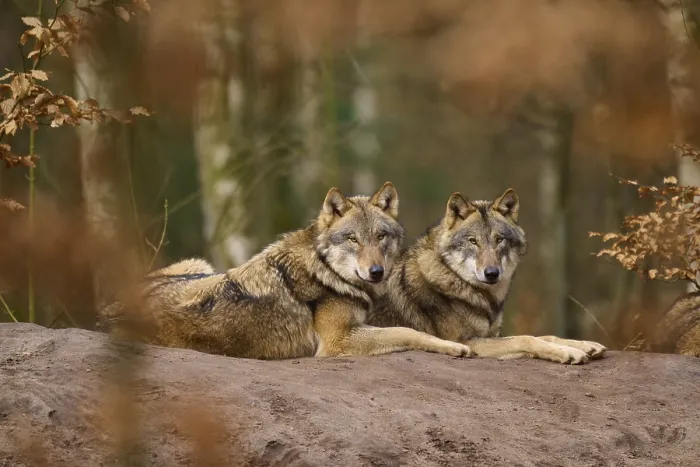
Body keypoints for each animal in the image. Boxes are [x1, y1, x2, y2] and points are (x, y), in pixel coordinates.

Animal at [97, 182, 472, 360]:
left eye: (381, 236)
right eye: (352, 239)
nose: (376, 272)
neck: (326, 269)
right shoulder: (337, 341)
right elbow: (408, 332)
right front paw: (455, 347)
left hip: (199, 265)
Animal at [367, 188, 607, 364]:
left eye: (499, 239)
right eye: (473, 241)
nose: (492, 273)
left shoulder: (492, 335)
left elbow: (545, 336)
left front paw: (585, 345)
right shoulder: (468, 341)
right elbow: (527, 338)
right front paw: (568, 352)